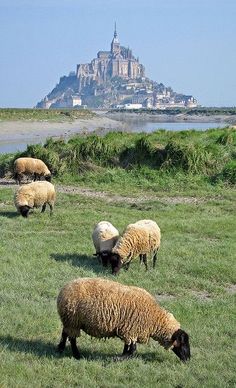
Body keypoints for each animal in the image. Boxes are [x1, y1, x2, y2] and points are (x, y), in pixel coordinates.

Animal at [56, 278, 190, 362]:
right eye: (183, 342)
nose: (188, 359)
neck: (154, 319)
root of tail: (63, 290)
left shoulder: (128, 330)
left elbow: (128, 347)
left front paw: (122, 355)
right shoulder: (132, 329)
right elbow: (132, 350)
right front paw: (118, 359)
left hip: (69, 320)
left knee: (65, 333)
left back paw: (60, 349)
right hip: (73, 320)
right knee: (72, 339)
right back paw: (77, 355)